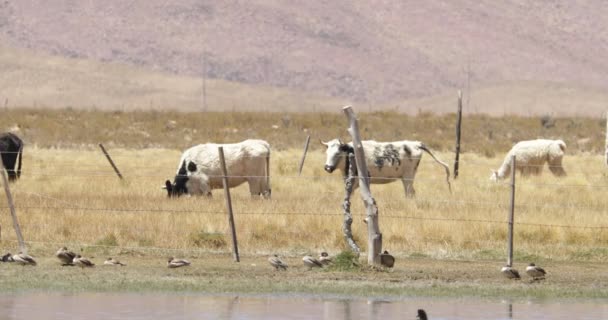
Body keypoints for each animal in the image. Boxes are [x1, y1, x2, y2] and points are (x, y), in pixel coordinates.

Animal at [320, 138, 448, 198]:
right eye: (327, 152)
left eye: (338, 153)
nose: (327, 167)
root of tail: (416, 144)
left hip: (408, 177)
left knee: (410, 193)